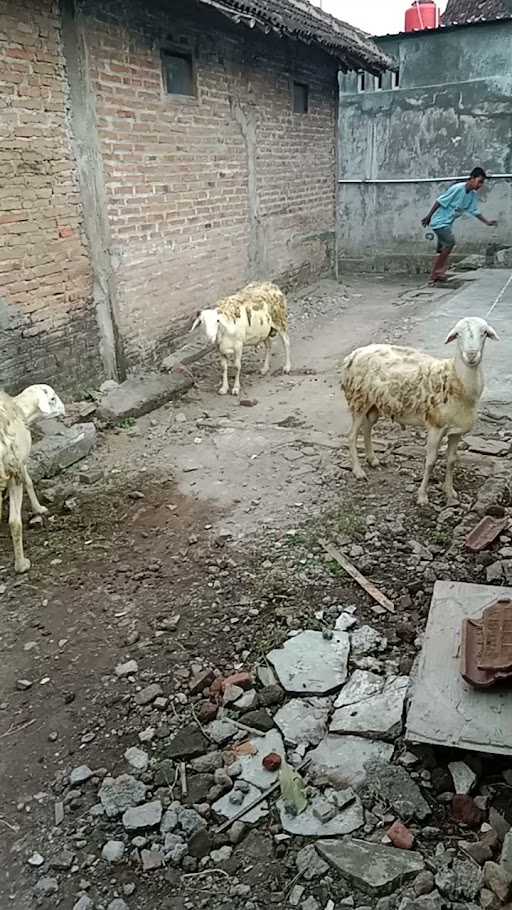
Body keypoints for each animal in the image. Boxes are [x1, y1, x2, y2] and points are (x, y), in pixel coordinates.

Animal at [0, 382, 65, 568]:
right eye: (52, 398)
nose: (64, 409)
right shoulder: (20, 463)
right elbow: (29, 481)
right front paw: (39, 508)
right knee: (14, 522)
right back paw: (21, 565)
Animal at [342, 318, 498, 506]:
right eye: (457, 334)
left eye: (484, 333)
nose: (472, 355)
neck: (454, 378)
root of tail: (354, 354)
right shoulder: (435, 427)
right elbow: (430, 462)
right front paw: (422, 496)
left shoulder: (456, 431)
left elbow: (452, 460)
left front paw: (450, 491)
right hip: (358, 400)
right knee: (351, 435)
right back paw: (358, 471)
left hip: (374, 404)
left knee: (367, 428)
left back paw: (373, 460)